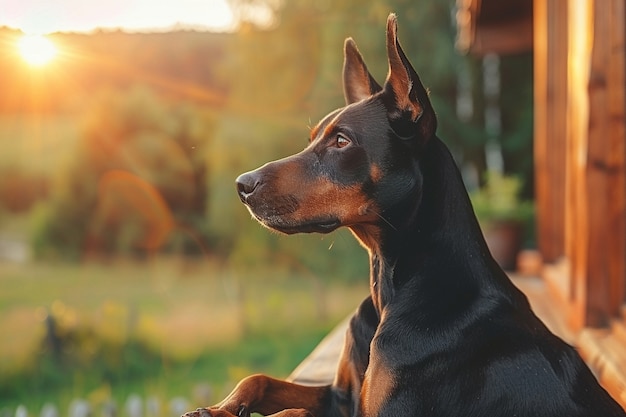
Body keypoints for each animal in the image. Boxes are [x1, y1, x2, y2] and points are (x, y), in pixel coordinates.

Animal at [183, 14, 620, 416]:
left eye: (341, 141)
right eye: (312, 140)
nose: (242, 185)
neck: (389, 288)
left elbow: (293, 412)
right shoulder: (342, 396)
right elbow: (258, 379)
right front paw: (220, 407)